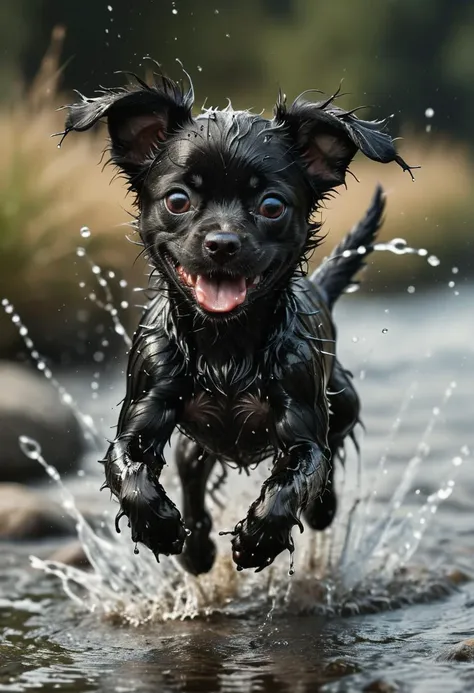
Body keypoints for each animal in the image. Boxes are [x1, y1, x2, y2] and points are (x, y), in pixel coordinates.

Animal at [63, 74, 412, 572]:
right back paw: (196, 549)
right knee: (191, 475)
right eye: (178, 200)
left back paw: (320, 511)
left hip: (344, 401)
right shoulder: (144, 412)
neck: (225, 347)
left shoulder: (303, 426)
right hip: (195, 445)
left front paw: (259, 537)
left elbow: (297, 478)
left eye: (271, 206)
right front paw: (159, 524)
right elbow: (128, 469)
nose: (223, 243)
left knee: (329, 465)